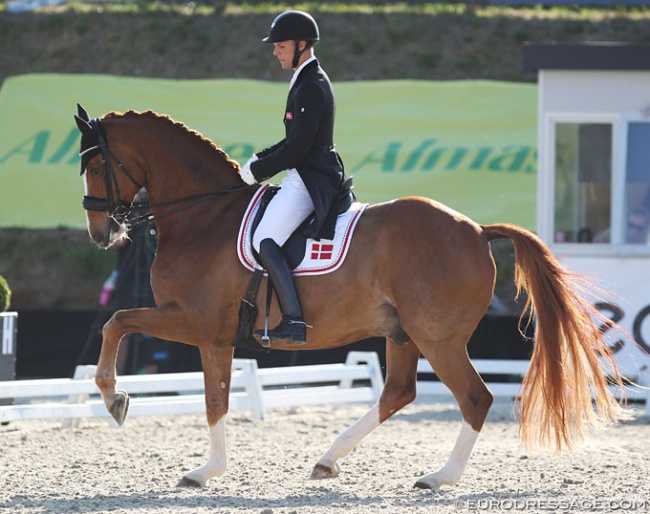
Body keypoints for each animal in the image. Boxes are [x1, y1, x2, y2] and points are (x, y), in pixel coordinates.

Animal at [74, 105, 624, 488]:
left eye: (97, 166)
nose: (102, 234)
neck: (204, 216)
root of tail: (476, 229)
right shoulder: (207, 332)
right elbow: (211, 394)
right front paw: (205, 466)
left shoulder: (198, 324)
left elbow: (123, 326)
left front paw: (117, 400)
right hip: (402, 333)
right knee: (398, 392)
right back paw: (327, 460)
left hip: (438, 337)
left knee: (475, 397)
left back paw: (439, 478)